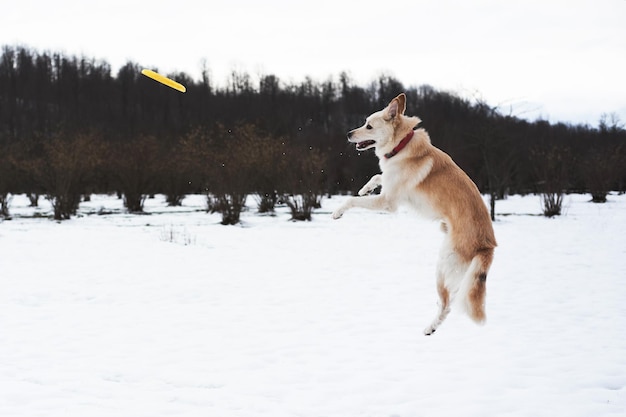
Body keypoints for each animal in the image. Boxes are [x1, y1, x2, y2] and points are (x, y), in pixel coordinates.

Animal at [332, 92, 492, 334]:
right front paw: (364, 188)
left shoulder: (387, 202)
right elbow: (378, 176)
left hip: (443, 264)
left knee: (447, 303)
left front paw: (338, 211)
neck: (401, 145)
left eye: (369, 126)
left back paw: (430, 328)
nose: (348, 134)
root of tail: (487, 246)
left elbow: (352, 199)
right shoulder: (388, 184)